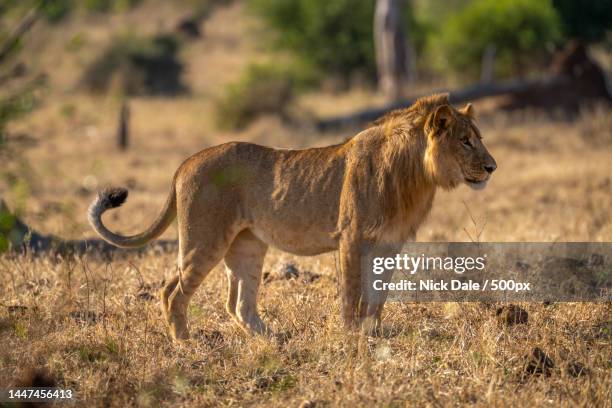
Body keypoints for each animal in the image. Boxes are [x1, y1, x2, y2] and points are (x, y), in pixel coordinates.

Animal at [87, 93, 498, 342]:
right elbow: (353, 294)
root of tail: (184, 163)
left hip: (247, 246)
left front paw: (374, 334)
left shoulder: (389, 244)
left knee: (237, 303)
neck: (417, 174)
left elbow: (377, 296)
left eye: (478, 137)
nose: (492, 167)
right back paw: (186, 344)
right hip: (204, 240)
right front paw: (352, 338)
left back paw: (274, 340)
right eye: (465, 141)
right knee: (173, 291)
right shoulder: (353, 238)